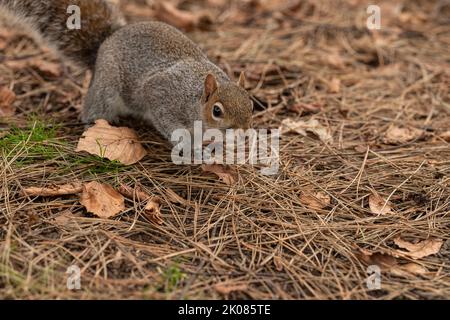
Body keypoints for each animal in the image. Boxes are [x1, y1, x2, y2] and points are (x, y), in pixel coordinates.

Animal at [0, 0, 253, 140]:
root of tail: (105, 44)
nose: (243, 132)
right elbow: (167, 121)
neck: (195, 98)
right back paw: (96, 125)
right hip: (107, 90)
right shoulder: (162, 94)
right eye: (217, 111)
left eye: (251, 104)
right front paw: (189, 146)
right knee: (94, 108)